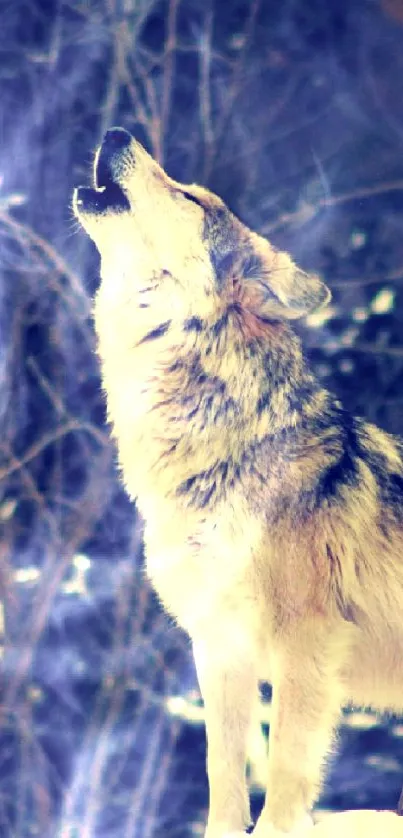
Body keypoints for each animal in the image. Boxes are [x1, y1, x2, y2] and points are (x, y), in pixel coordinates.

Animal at [74, 128, 403, 836]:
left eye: (191, 197)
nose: (115, 132)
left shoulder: (307, 645)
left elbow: (284, 776)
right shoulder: (218, 646)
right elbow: (222, 773)